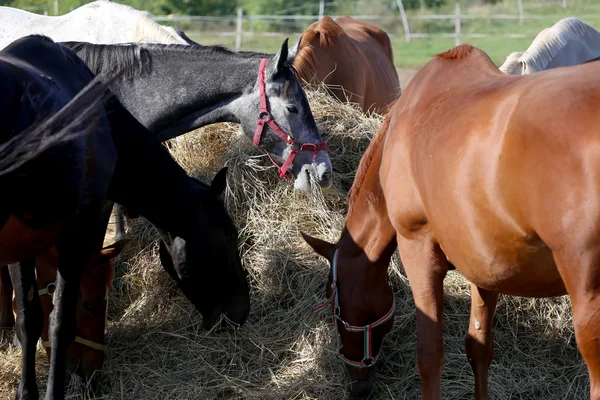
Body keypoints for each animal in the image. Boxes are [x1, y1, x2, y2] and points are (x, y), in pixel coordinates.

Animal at [0, 35, 248, 400]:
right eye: (230, 234)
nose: (242, 310)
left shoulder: (23, 246)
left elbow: (30, 319)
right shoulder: (79, 234)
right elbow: (59, 323)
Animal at [304, 43, 600, 400]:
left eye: (333, 304)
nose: (358, 385)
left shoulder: (417, 251)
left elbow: (430, 356)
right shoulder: (485, 266)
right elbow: (479, 348)